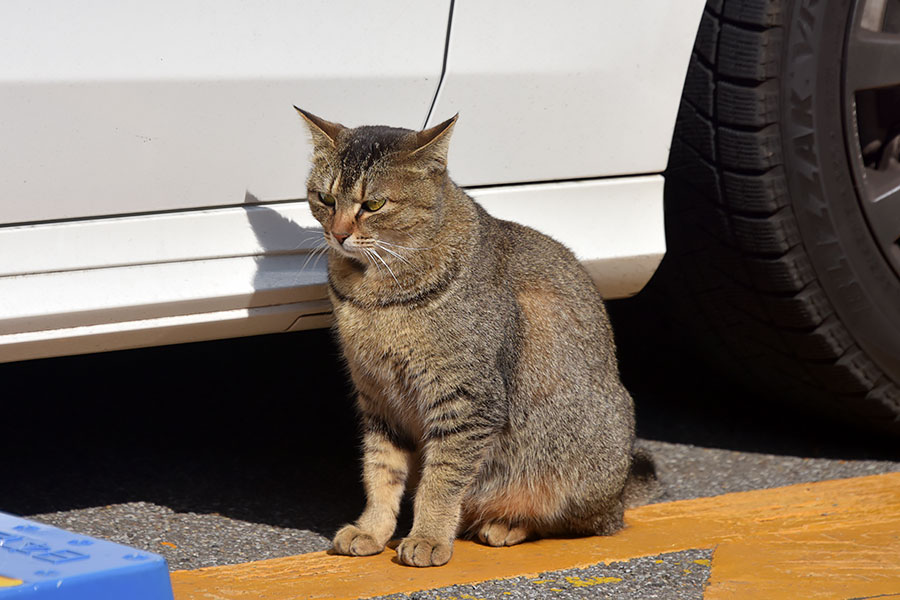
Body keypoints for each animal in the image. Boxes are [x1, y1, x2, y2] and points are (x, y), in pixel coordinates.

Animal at [298, 106, 656, 568]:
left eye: (374, 204)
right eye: (325, 199)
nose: (338, 234)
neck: (372, 292)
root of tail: (620, 490)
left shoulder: (467, 401)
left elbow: (441, 481)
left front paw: (428, 536)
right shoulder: (378, 399)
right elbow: (380, 472)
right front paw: (372, 529)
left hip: (581, 459)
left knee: (583, 523)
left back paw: (507, 524)